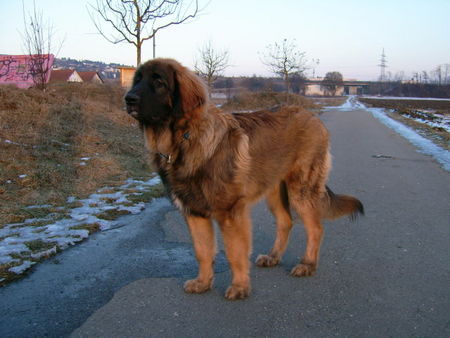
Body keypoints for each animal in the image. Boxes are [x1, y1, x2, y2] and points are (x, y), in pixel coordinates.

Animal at [125, 58, 364, 302]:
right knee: (286, 222)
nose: (129, 98)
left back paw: (307, 264)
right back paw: (273, 257)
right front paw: (203, 283)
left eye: (159, 82)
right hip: (275, 192)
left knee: (315, 228)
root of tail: (312, 116)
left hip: (301, 190)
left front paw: (239, 287)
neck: (184, 139)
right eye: (138, 79)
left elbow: (234, 253)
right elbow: (202, 251)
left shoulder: (230, 212)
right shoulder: (194, 212)